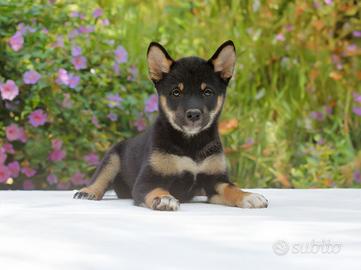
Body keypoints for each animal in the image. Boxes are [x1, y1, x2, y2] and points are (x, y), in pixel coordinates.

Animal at [73, 40, 268, 211]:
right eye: (176, 92)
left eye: (207, 92)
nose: (193, 114)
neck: (191, 144)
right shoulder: (147, 181)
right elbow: (158, 189)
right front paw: (164, 198)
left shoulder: (215, 180)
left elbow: (231, 188)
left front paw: (249, 196)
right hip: (112, 158)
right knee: (101, 178)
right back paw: (87, 192)